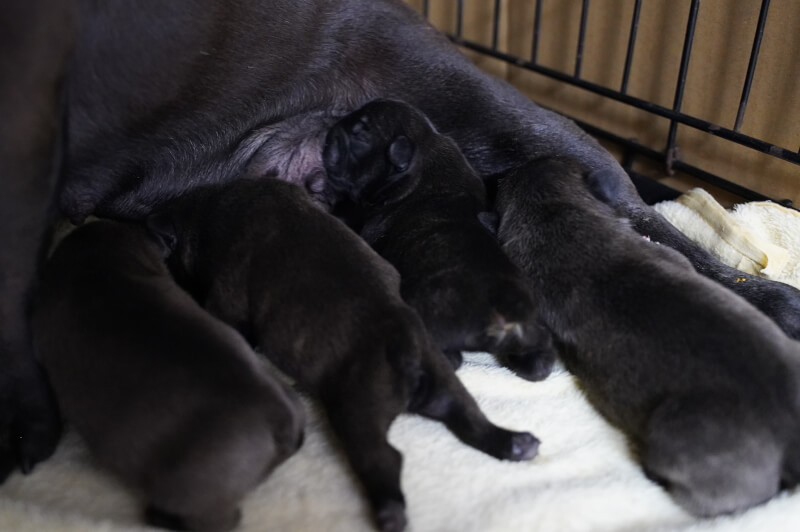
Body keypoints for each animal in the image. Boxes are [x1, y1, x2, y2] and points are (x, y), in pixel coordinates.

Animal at [320, 100, 556, 380]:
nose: (329, 134)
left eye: (360, 134)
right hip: (535, 333)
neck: (424, 148)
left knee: (448, 358)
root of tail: (503, 312)